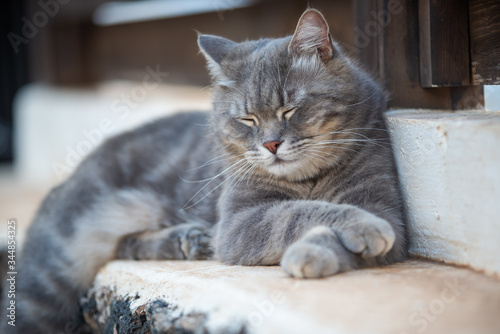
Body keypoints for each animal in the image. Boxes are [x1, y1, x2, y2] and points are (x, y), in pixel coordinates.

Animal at [1, 7, 406, 334]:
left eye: (290, 110)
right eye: (247, 119)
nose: (271, 145)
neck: (309, 179)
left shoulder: (385, 208)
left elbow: (329, 218)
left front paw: (314, 253)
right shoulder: (240, 223)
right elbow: (302, 212)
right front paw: (347, 232)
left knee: (127, 244)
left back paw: (187, 240)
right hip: (55, 270)